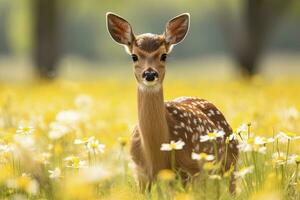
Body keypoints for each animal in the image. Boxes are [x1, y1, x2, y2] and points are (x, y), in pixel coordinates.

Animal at [106, 11, 238, 193]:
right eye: (134, 56)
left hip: (228, 169)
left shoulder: (192, 171)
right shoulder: (141, 176)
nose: (150, 74)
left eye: (164, 55)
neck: (156, 159)